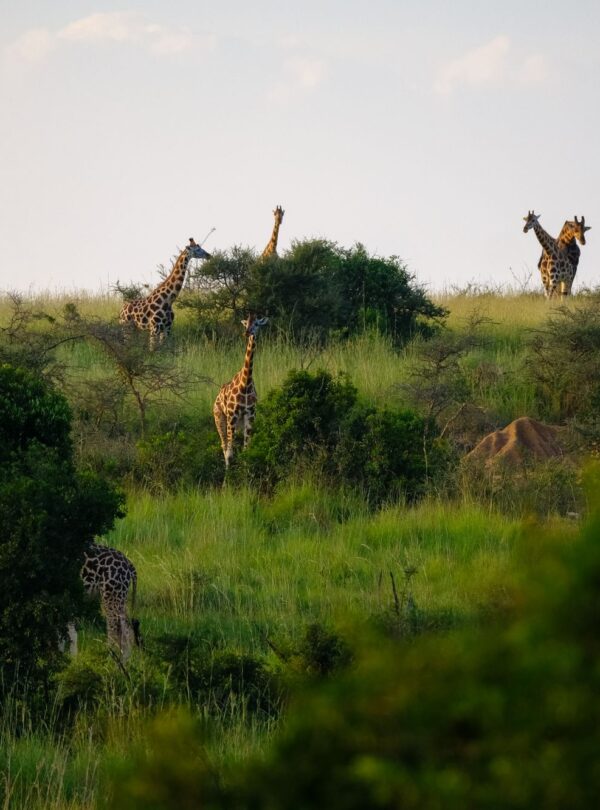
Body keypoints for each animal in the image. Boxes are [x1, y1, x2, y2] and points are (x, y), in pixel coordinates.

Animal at [213, 315, 269, 468]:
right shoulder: (232, 415)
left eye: (257, 324)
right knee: (224, 446)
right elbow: (230, 453)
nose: (247, 333)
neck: (246, 384)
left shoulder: (250, 415)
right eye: (246, 324)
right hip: (220, 418)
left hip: (239, 422)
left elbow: (246, 449)